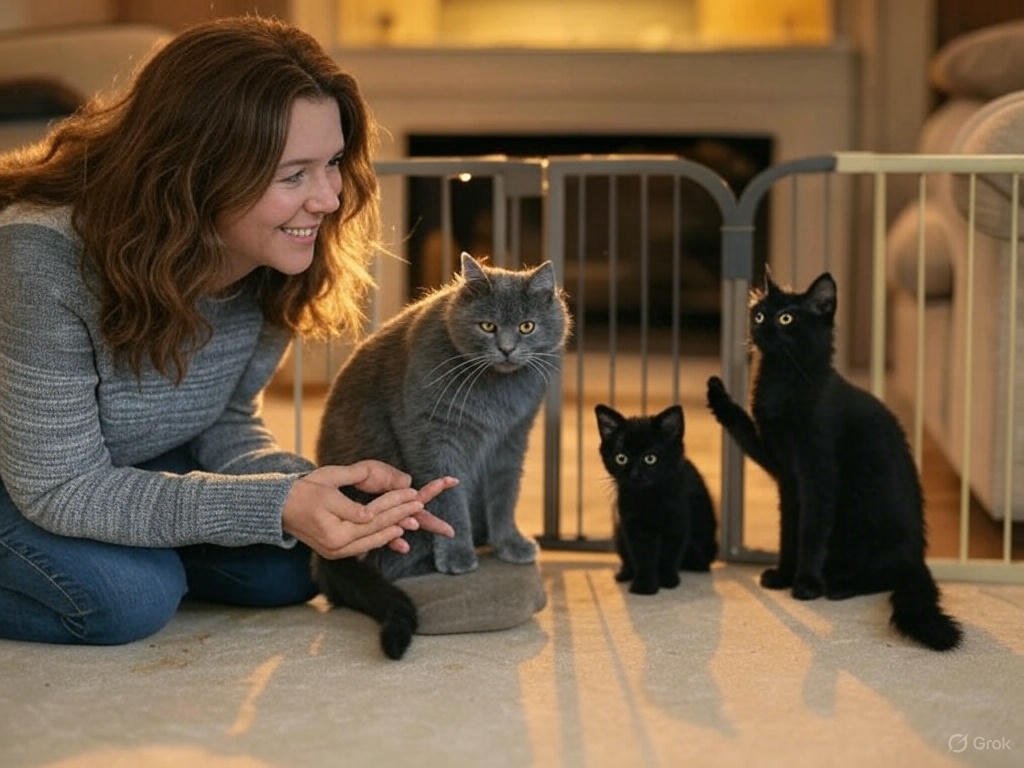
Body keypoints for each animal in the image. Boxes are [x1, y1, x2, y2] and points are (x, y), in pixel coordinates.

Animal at [313, 252, 569, 663]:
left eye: (527, 326)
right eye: (487, 326)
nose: (507, 348)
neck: (496, 394)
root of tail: (325, 560)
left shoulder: (512, 439)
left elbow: (505, 496)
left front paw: (511, 545)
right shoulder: (432, 435)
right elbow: (448, 501)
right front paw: (456, 554)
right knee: (390, 565)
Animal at [598, 403, 716, 593]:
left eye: (650, 458)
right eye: (621, 458)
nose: (635, 474)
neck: (649, 497)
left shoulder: (677, 522)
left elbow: (669, 554)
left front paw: (667, 580)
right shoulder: (634, 526)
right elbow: (642, 556)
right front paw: (644, 586)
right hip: (619, 532)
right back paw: (625, 573)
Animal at [708, 274, 962, 651]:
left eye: (786, 318)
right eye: (758, 314)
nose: (760, 328)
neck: (782, 382)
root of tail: (920, 558)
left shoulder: (818, 474)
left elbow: (811, 531)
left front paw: (806, 583)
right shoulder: (784, 472)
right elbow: (788, 530)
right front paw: (784, 574)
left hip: (865, 521)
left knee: (888, 575)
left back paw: (840, 585)